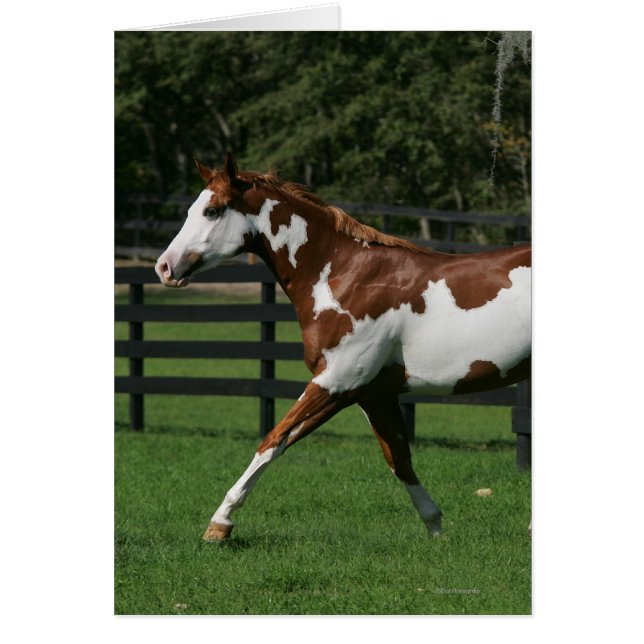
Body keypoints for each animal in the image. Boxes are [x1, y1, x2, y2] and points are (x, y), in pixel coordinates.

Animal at [155, 152, 531, 542]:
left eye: (212, 211)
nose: (164, 267)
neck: (346, 277)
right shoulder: (373, 393)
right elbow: (399, 459)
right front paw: (436, 529)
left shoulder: (336, 382)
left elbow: (273, 440)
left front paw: (220, 523)